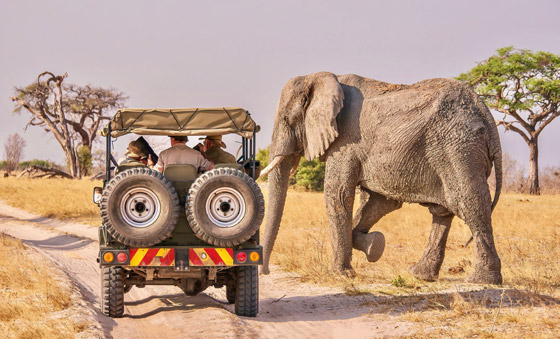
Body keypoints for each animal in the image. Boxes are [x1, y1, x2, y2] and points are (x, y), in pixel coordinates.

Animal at [262, 72, 504, 286]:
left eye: (288, 119)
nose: (264, 272)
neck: (323, 78)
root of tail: (487, 116)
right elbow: (382, 202)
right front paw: (375, 246)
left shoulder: (346, 141)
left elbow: (338, 194)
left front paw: (340, 274)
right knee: (443, 211)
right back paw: (420, 275)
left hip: (459, 147)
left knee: (468, 203)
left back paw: (482, 281)